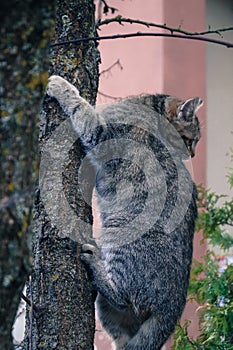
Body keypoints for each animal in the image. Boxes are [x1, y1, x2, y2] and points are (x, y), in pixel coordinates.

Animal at [46, 75, 203, 348]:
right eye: (191, 140)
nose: (192, 154)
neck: (149, 107)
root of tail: (173, 305)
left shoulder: (102, 135)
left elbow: (80, 107)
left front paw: (61, 87)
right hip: (111, 315)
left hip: (120, 232)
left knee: (122, 295)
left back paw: (95, 262)